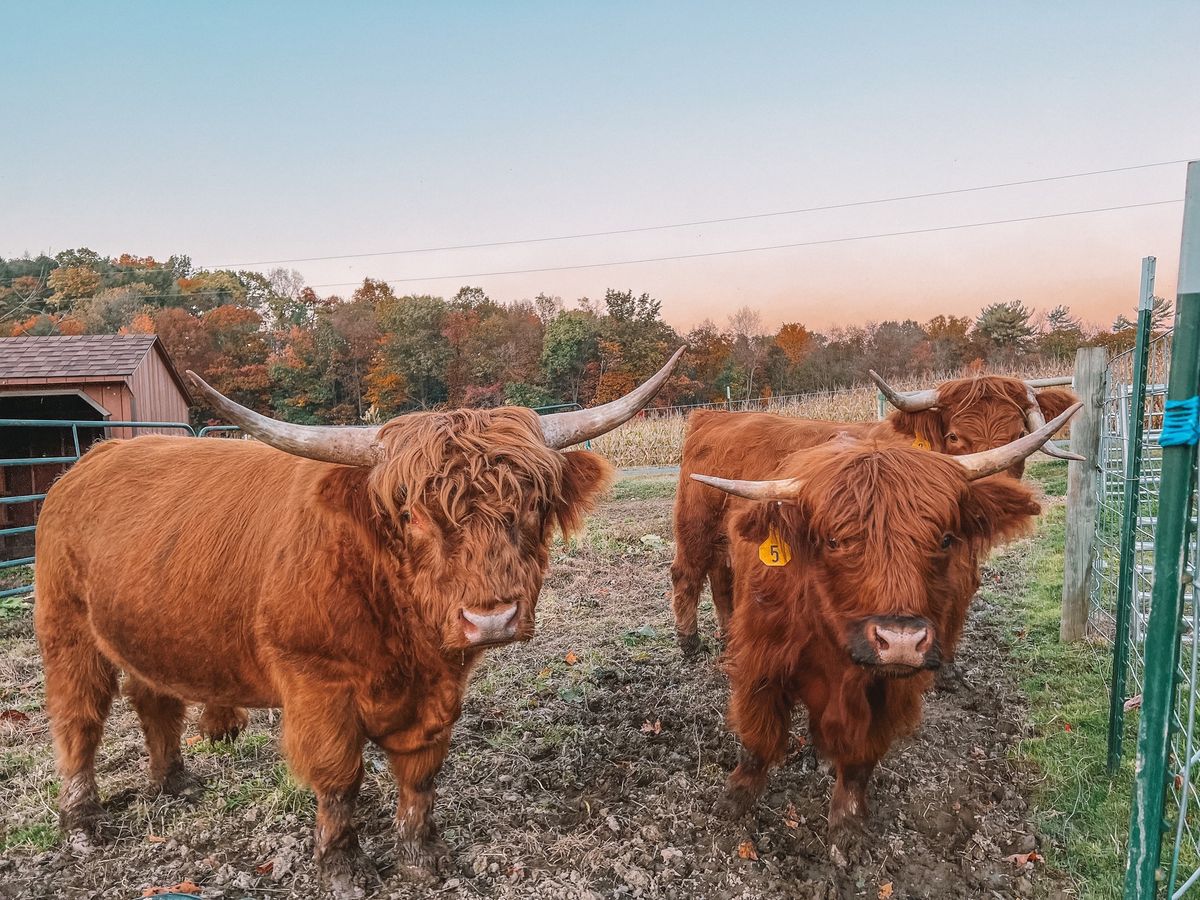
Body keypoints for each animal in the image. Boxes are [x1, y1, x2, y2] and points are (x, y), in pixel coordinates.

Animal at [32, 350, 681, 897]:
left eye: (532, 504)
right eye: (412, 513)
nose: (491, 617)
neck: (402, 636)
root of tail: (93, 459)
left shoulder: (439, 692)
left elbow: (420, 774)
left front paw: (422, 857)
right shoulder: (315, 684)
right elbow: (339, 776)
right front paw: (342, 867)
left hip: (148, 627)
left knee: (153, 698)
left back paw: (171, 782)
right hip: (66, 629)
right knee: (78, 719)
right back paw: (82, 821)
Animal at [667, 374, 1080, 657]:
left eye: (1019, 434)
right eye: (953, 437)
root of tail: (713, 416)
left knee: (721, 579)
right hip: (695, 528)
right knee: (686, 573)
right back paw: (690, 642)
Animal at [696, 400, 1080, 840]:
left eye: (944, 539)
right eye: (834, 541)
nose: (900, 641)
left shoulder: (890, 692)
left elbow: (860, 759)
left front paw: (847, 827)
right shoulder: (762, 661)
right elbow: (760, 735)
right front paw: (735, 798)